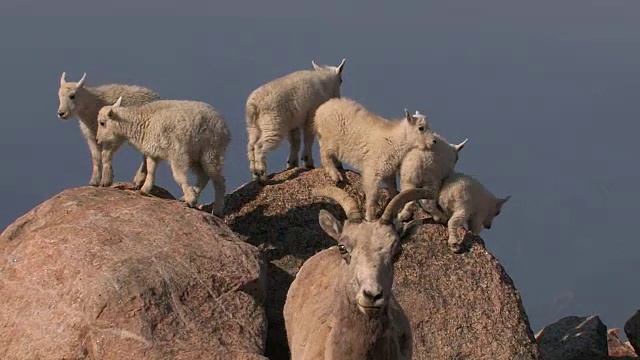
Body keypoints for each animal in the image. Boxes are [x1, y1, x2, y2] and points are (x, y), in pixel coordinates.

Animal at [96, 95, 231, 217]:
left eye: (102, 123)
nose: (97, 140)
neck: (142, 122)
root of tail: (225, 127)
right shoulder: (153, 152)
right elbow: (151, 171)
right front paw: (145, 189)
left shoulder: (177, 153)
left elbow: (179, 177)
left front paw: (191, 199)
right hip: (196, 157)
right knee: (204, 177)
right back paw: (188, 196)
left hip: (212, 151)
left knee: (219, 181)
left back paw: (217, 209)